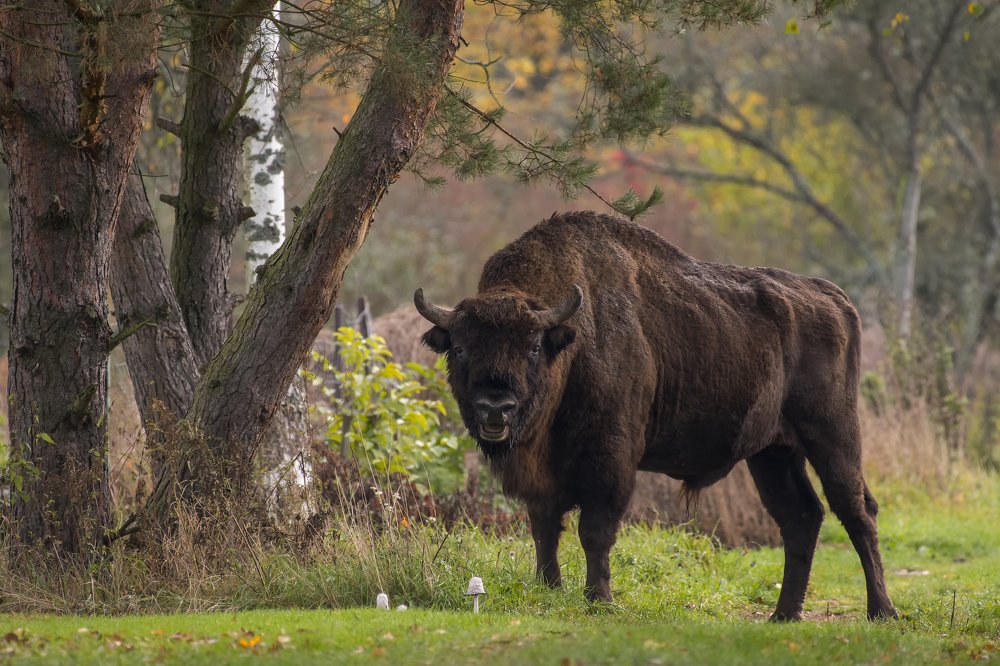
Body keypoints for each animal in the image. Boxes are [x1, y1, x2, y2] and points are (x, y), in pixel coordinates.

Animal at [414, 211, 896, 621]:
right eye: (460, 347)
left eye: (533, 347)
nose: (495, 407)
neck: (571, 345)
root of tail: (834, 298)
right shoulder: (542, 476)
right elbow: (545, 528)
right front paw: (549, 588)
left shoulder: (610, 461)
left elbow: (595, 530)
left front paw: (599, 599)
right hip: (773, 452)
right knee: (801, 518)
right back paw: (784, 615)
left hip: (832, 436)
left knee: (857, 511)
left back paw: (882, 611)